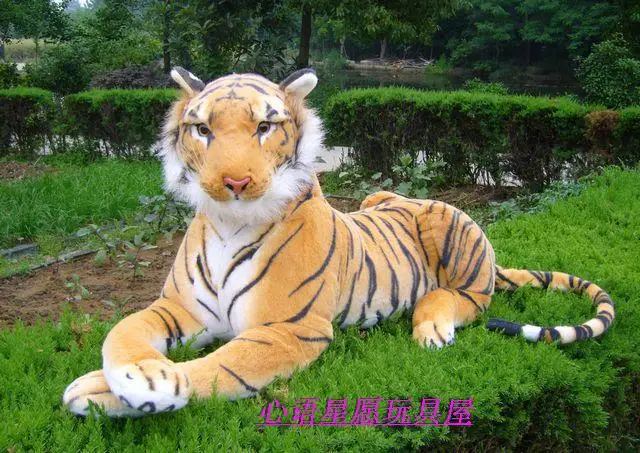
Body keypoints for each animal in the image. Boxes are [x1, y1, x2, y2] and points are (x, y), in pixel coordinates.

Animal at [62, 67, 616, 417]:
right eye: (201, 130)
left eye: (265, 126)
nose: (234, 182)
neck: (228, 223)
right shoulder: (180, 307)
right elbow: (124, 331)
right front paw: (122, 375)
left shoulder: (289, 330)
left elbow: (220, 367)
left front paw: (138, 388)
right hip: (379, 194)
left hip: (445, 222)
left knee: (469, 299)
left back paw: (432, 326)